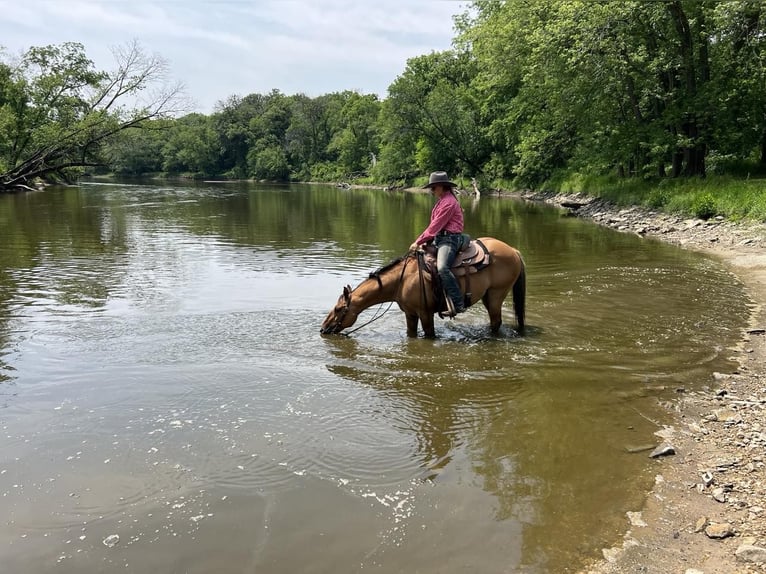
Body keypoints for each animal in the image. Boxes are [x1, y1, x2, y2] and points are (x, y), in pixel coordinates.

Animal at [320, 237, 528, 340]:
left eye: (338, 309)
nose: (323, 329)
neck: (402, 280)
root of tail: (513, 250)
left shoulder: (425, 313)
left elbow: (429, 334)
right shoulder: (410, 314)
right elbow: (411, 334)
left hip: (496, 295)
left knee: (496, 322)